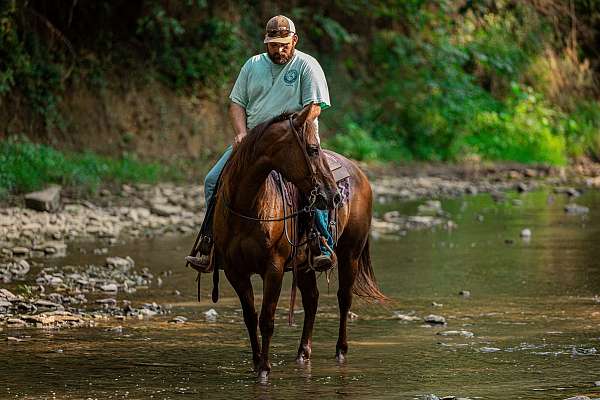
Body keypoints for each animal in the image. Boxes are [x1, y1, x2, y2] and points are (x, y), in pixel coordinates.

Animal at [211, 104, 384, 380]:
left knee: (344, 298)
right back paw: (303, 352)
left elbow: (267, 318)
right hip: (305, 264)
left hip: (351, 254)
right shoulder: (234, 271)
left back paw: (341, 350)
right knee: (311, 299)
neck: (248, 207)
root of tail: (359, 172)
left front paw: (264, 369)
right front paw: (256, 362)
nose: (334, 196)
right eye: (312, 149)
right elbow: (250, 316)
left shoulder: (273, 268)